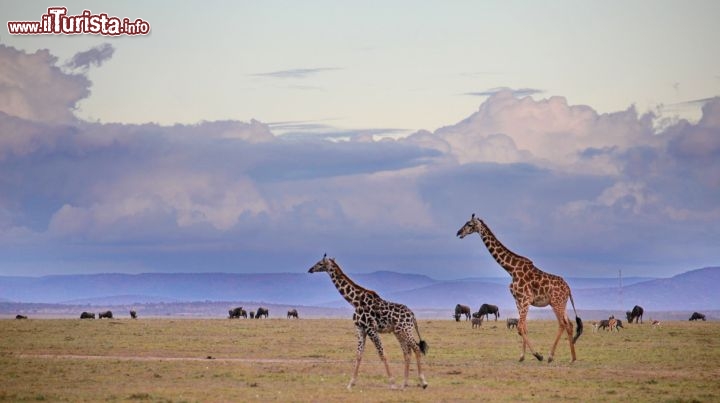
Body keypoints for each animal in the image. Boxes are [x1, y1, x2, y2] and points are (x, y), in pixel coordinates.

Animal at [306, 256, 428, 392]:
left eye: (320, 263)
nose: (310, 269)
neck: (355, 301)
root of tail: (413, 315)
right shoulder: (360, 328)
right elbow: (358, 355)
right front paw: (350, 383)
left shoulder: (371, 328)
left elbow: (382, 354)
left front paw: (392, 383)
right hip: (398, 332)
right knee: (407, 352)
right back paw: (404, 384)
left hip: (405, 330)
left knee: (416, 348)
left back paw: (423, 382)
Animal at [458, 216, 584, 364]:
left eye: (469, 224)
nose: (459, 233)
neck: (511, 269)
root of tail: (568, 288)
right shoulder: (518, 300)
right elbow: (523, 327)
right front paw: (522, 356)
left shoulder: (525, 299)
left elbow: (519, 327)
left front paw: (538, 355)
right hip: (560, 303)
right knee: (569, 324)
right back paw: (573, 358)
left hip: (556, 303)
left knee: (562, 324)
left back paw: (550, 356)